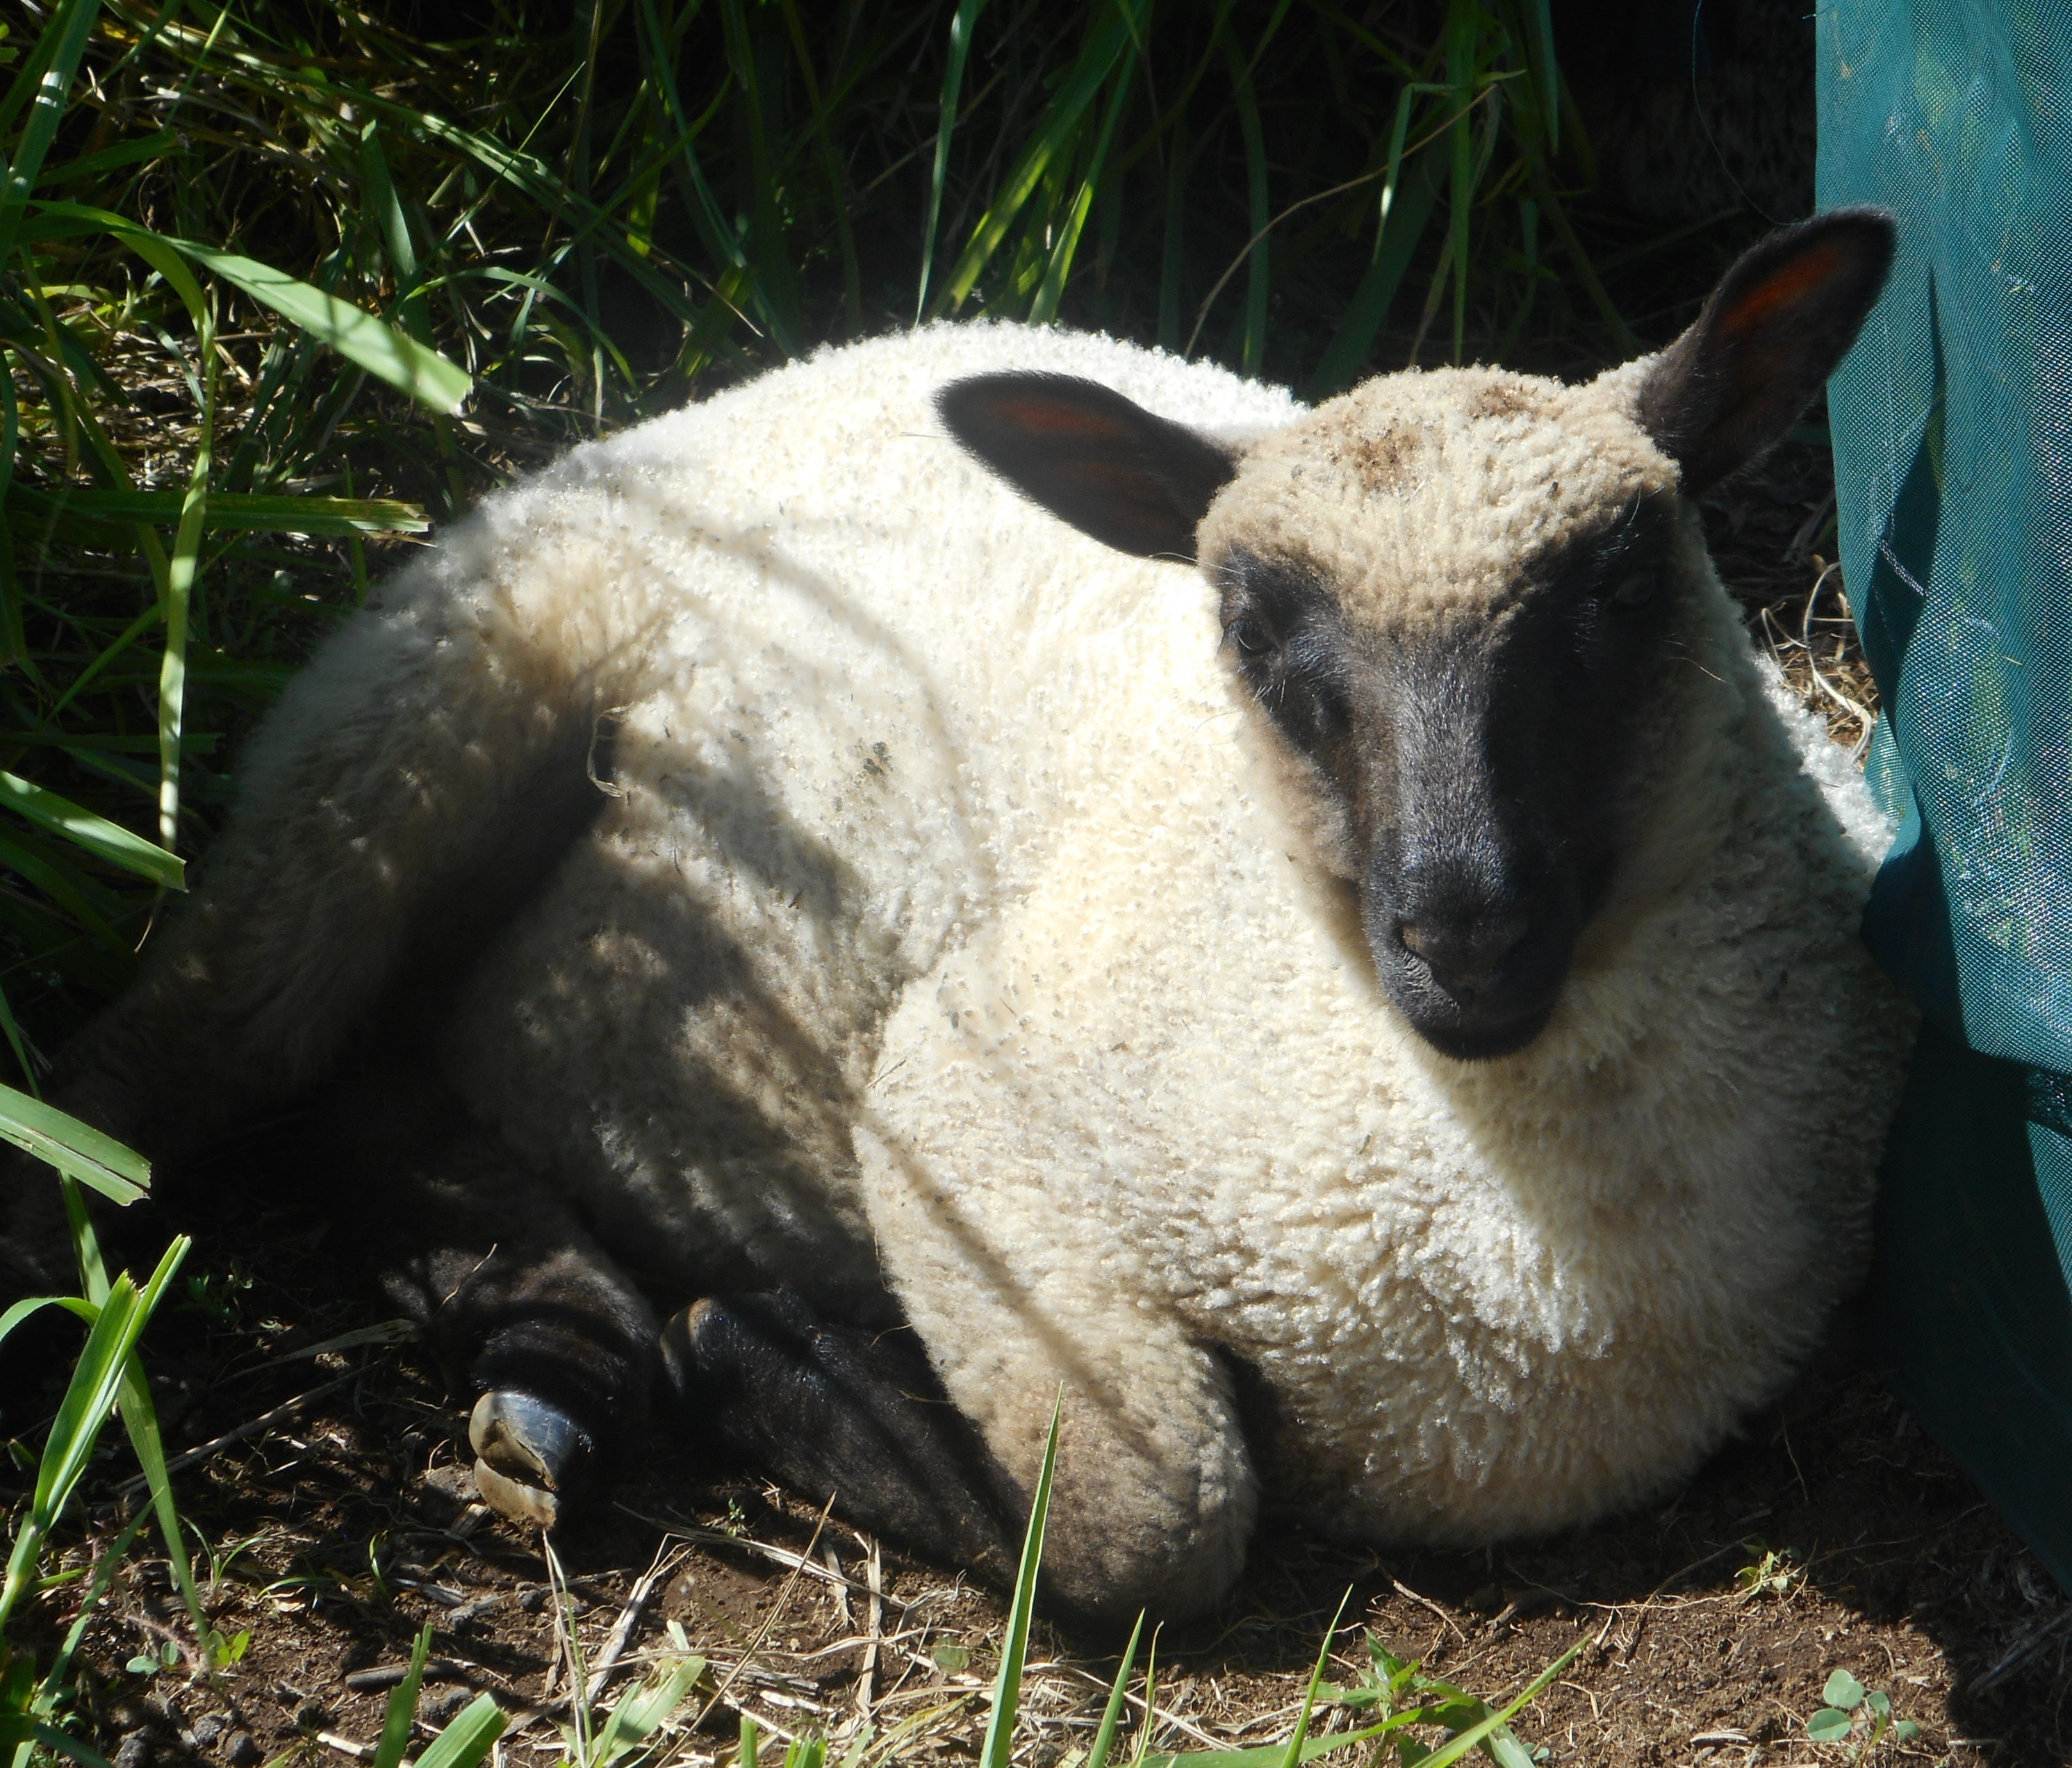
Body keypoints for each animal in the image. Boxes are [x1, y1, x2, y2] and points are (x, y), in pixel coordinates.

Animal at [0, 203, 1906, 1616]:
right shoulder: (957, 1093)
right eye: (1254, 643)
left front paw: (734, 1349)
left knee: (358, 1083)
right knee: (200, 1051)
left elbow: (1150, 1509)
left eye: (1620, 593)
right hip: (426, 703)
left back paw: (550, 1347)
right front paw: (773, 1357)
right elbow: (1157, 1514)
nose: (1464, 929)